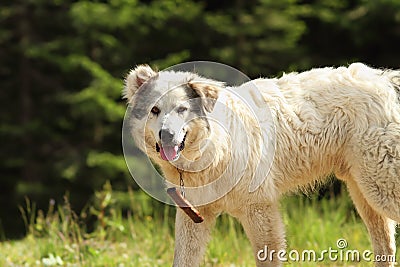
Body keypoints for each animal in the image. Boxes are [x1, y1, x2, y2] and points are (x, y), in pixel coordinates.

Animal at [124, 63, 400, 267]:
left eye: (182, 109)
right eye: (154, 110)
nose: (166, 135)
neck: (215, 148)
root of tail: (382, 79)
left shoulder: (259, 209)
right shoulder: (193, 216)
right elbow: (182, 259)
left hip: (380, 189)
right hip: (364, 192)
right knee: (385, 246)